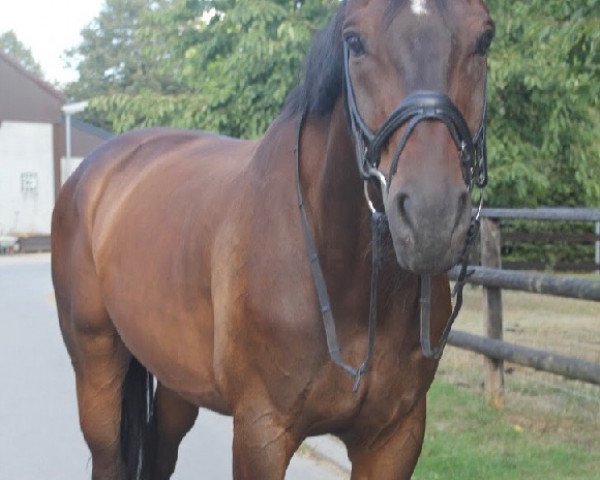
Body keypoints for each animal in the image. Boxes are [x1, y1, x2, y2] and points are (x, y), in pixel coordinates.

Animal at [51, 0, 492, 478]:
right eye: (354, 42)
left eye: (484, 39)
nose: (432, 215)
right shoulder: (261, 430)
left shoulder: (396, 437)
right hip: (96, 369)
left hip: (175, 383)